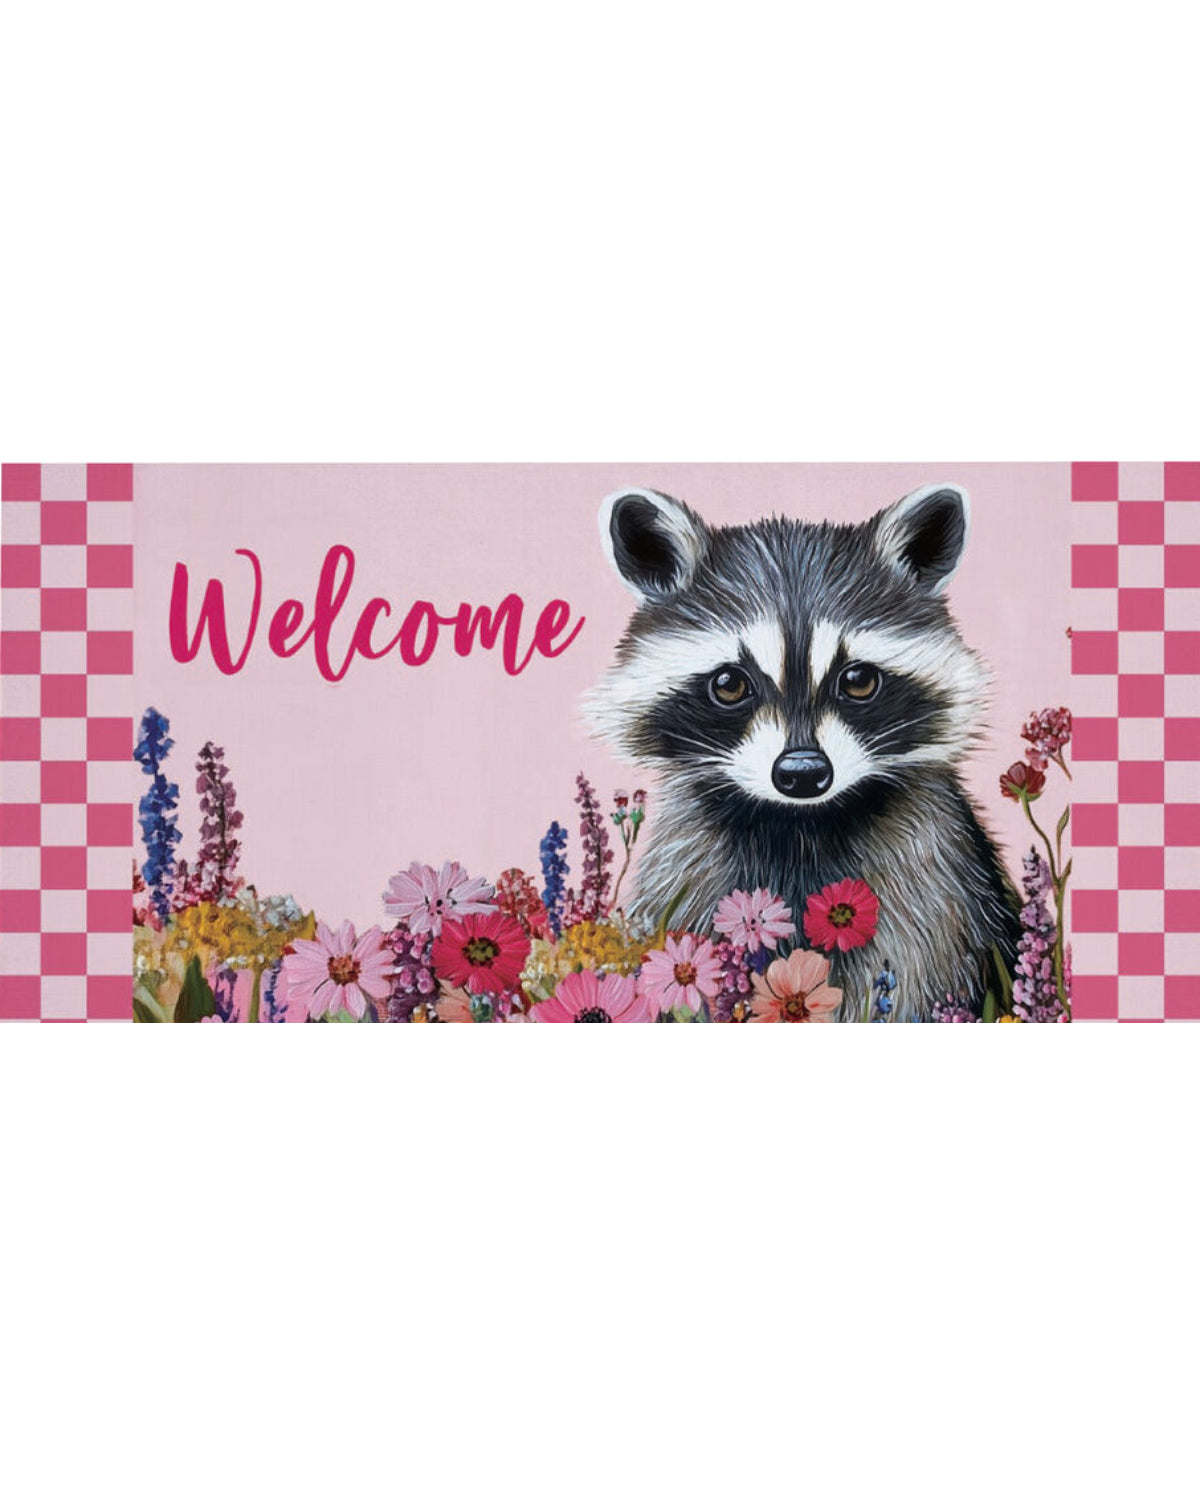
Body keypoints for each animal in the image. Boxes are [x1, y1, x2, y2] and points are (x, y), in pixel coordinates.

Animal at [586, 482, 1022, 1021]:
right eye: (729, 684)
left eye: (858, 680)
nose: (803, 772)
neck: (798, 824)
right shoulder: (689, 866)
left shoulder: (935, 875)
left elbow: (920, 969)